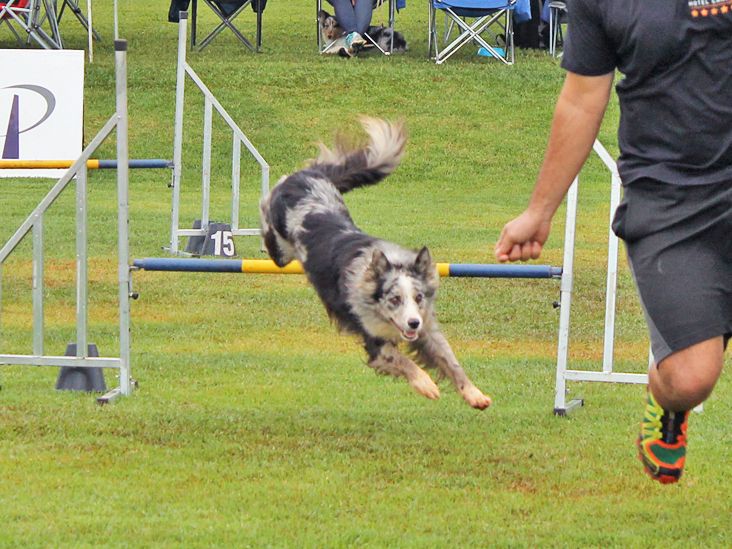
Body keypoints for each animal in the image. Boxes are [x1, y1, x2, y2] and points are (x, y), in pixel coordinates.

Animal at [258, 120, 492, 412]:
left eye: (418, 298)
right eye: (394, 299)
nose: (413, 322)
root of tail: (306, 176)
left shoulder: (427, 329)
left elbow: (450, 360)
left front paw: (474, 394)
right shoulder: (375, 343)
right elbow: (404, 361)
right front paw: (425, 384)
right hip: (280, 249)